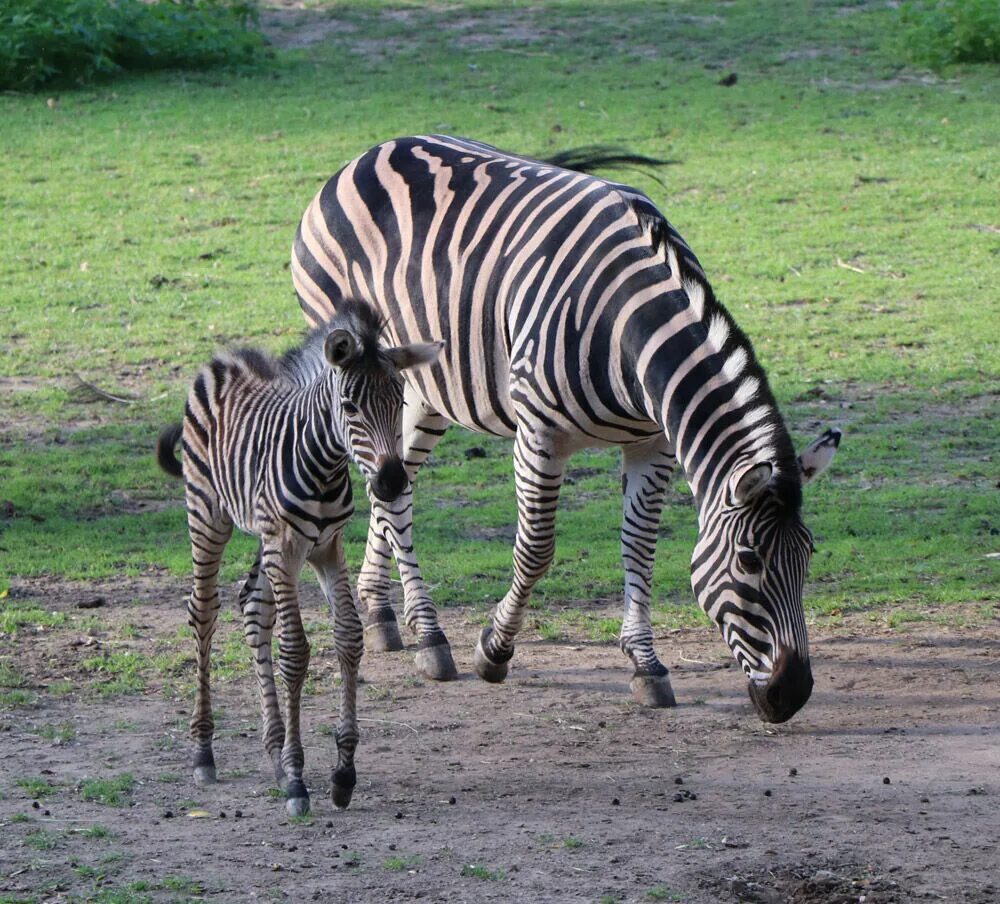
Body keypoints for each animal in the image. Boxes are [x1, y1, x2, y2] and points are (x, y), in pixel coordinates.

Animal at [155, 300, 442, 816]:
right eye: (349, 407)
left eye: (401, 403)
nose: (391, 483)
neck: (324, 467)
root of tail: (222, 360)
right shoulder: (286, 545)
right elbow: (295, 650)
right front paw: (295, 779)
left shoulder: (327, 547)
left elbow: (348, 638)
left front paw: (342, 772)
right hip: (209, 515)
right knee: (203, 611)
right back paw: (204, 752)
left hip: (268, 546)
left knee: (253, 606)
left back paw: (270, 748)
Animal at [292, 134, 840, 724]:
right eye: (750, 561)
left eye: (808, 555)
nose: (793, 694)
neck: (630, 331)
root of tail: (374, 150)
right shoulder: (538, 436)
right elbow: (535, 551)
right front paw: (493, 651)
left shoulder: (652, 443)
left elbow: (639, 545)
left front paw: (645, 665)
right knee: (389, 489)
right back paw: (432, 639)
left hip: (423, 389)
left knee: (392, 484)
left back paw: (384, 613)